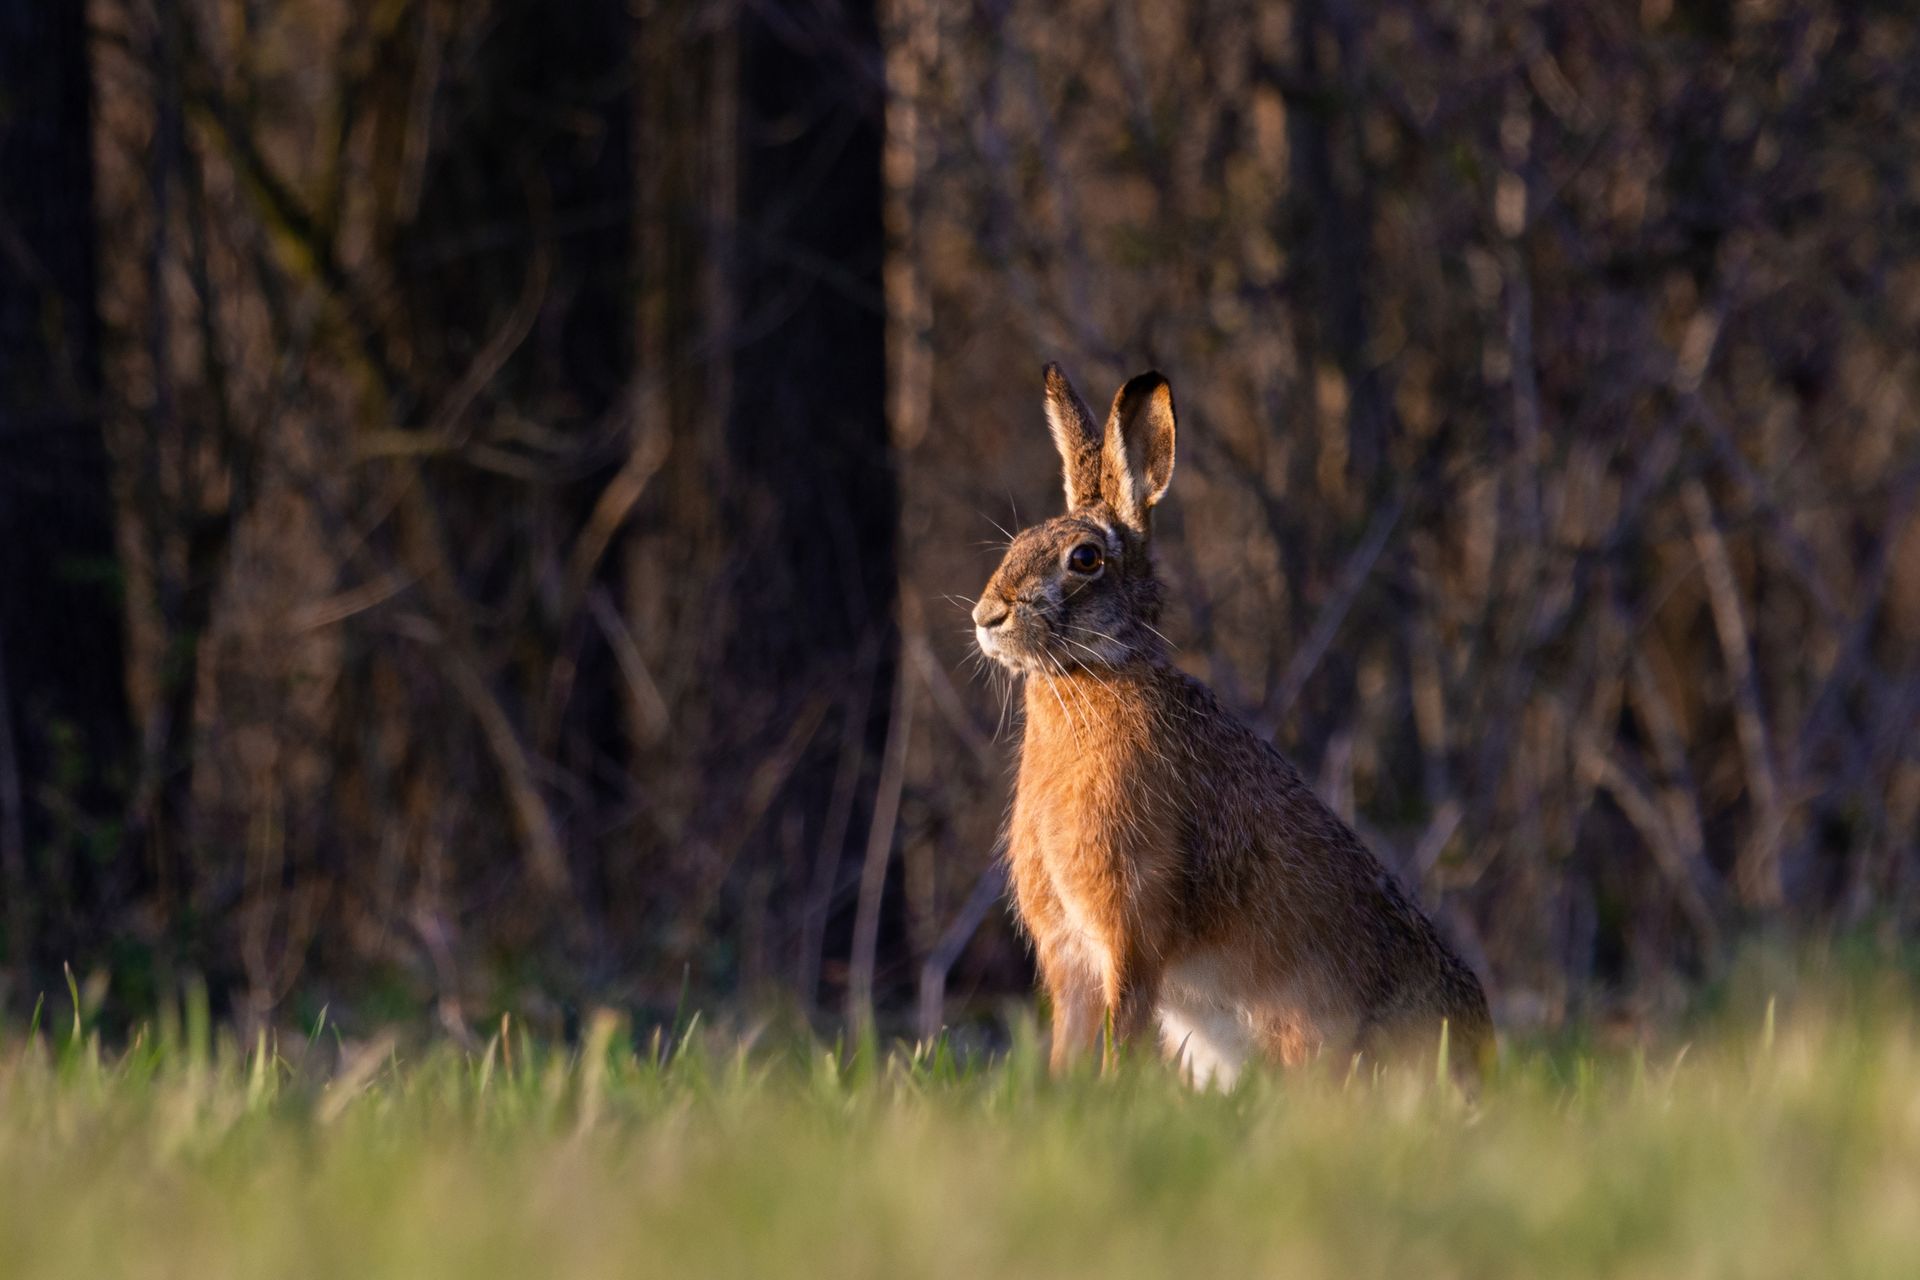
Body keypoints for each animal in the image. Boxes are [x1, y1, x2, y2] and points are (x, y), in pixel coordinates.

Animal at [971, 364, 1493, 1087]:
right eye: (1018, 544)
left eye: (1085, 559)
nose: (986, 616)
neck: (1093, 672)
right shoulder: (1070, 951)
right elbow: (1068, 1045)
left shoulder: (1131, 929)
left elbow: (1121, 1031)